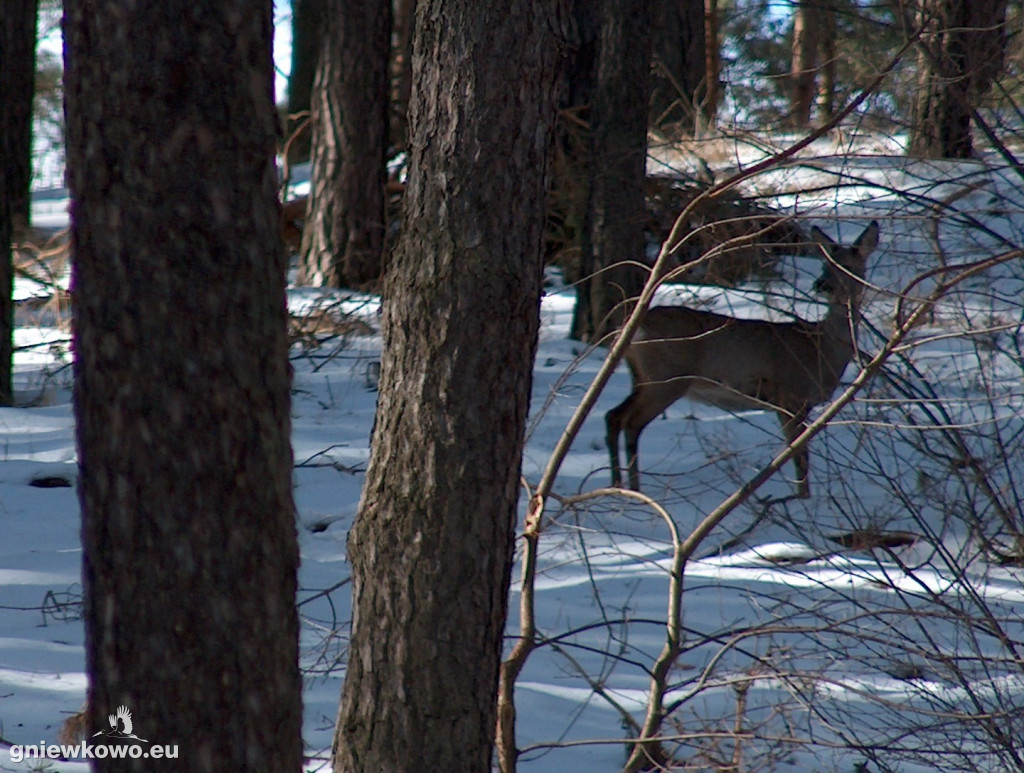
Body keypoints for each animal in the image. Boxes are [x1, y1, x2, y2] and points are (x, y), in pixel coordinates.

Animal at [606, 221, 880, 499]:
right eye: (826, 265)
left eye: (848, 266)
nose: (821, 284)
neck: (820, 348)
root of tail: (630, 330)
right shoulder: (790, 396)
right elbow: (799, 456)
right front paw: (802, 498)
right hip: (667, 377)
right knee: (631, 423)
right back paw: (634, 490)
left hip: (643, 378)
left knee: (613, 416)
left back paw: (619, 487)